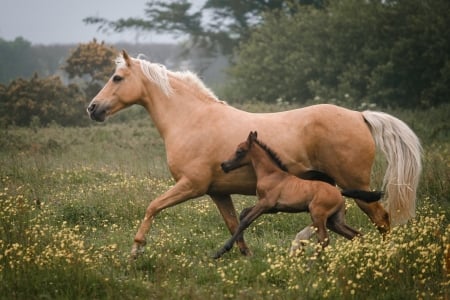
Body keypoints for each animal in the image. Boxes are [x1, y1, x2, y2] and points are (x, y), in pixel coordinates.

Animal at [214, 132, 384, 258]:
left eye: (239, 151)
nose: (224, 165)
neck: (270, 174)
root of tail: (338, 191)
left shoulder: (266, 203)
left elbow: (245, 221)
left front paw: (221, 251)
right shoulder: (272, 208)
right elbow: (243, 214)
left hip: (318, 215)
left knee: (324, 239)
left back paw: (311, 265)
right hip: (335, 220)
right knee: (356, 235)